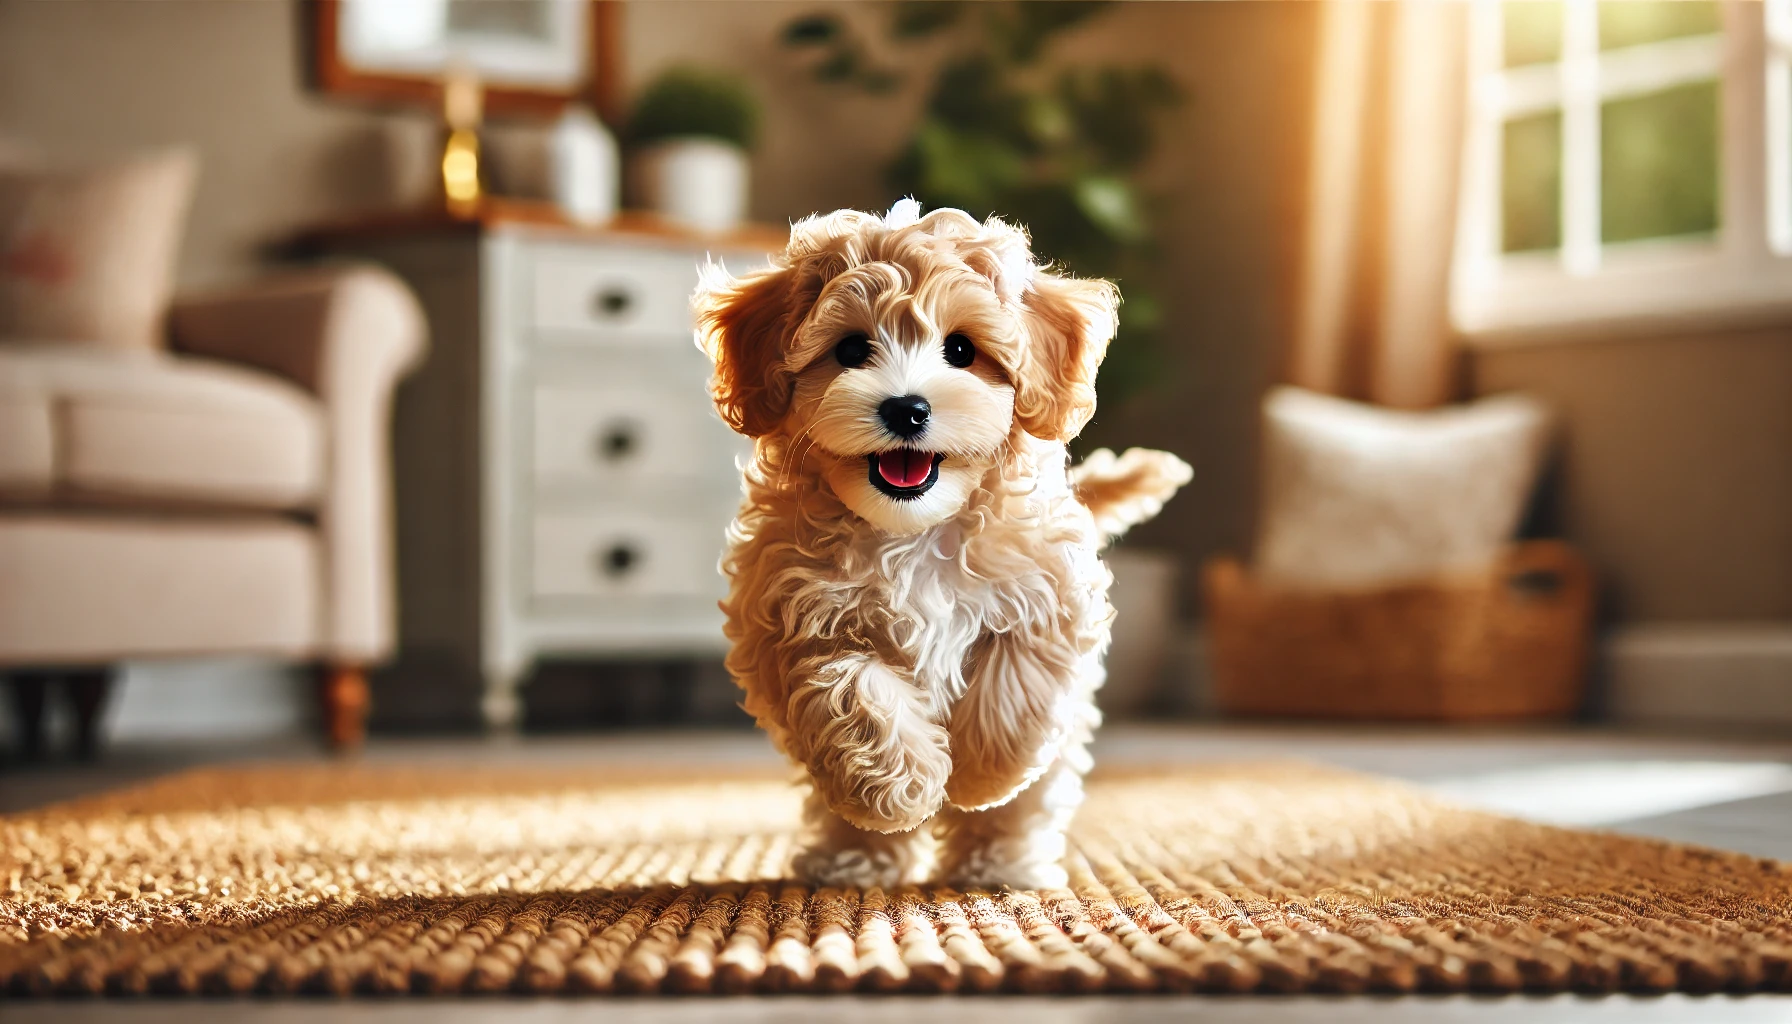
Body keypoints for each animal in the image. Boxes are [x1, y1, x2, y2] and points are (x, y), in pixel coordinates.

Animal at [695, 199, 1189, 889]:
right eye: (851, 348)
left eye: (961, 349)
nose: (907, 408)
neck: (915, 531)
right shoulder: (793, 616)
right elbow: (852, 689)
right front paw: (903, 788)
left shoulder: (1046, 597)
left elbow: (1014, 689)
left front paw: (980, 777)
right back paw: (857, 859)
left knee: (1029, 801)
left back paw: (998, 865)